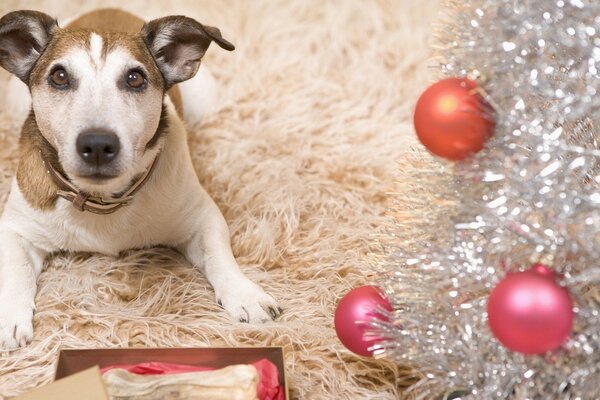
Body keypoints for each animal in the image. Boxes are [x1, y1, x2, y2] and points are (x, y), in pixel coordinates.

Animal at [0, 9, 282, 350]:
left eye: (135, 78)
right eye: (59, 76)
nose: (97, 144)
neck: (103, 199)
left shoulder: (202, 217)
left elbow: (219, 254)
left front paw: (244, 293)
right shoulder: (15, 228)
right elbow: (16, 268)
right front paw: (10, 315)